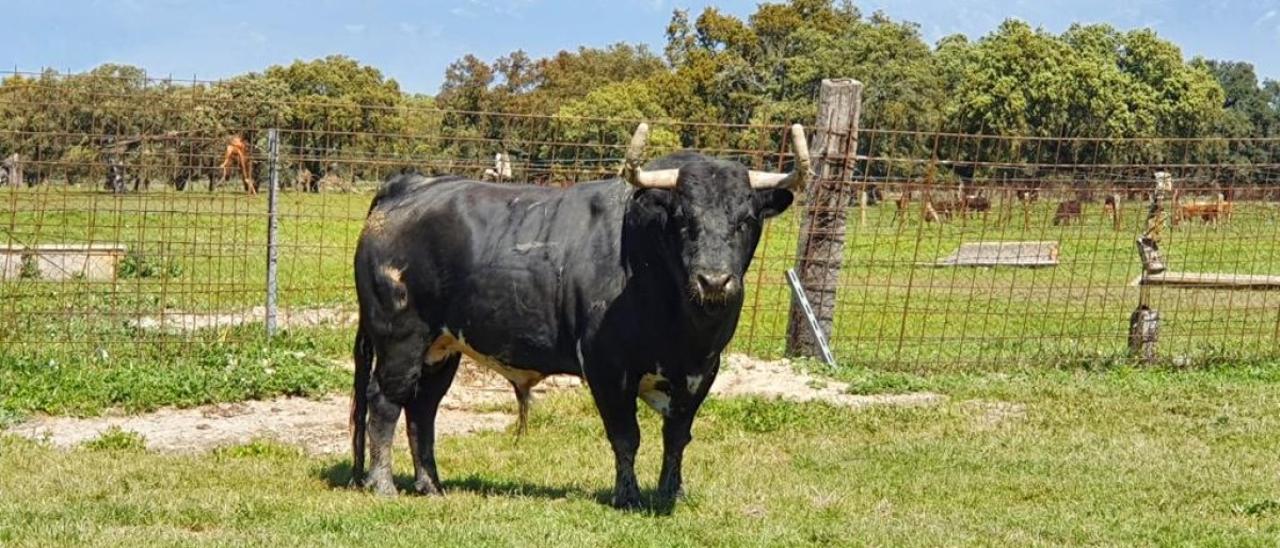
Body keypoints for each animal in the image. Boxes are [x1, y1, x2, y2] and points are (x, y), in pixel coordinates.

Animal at [350, 124, 808, 509]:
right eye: (681, 218)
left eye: (746, 219)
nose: (714, 280)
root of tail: (408, 186)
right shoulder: (607, 368)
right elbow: (626, 437)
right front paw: (628, 496)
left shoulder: (702, 372)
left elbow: (677, 437)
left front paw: (670, 493)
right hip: (401, 338)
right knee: (386, 402)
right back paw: (383, 484)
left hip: (442, 347)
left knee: (423, 409)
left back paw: (431, 485)